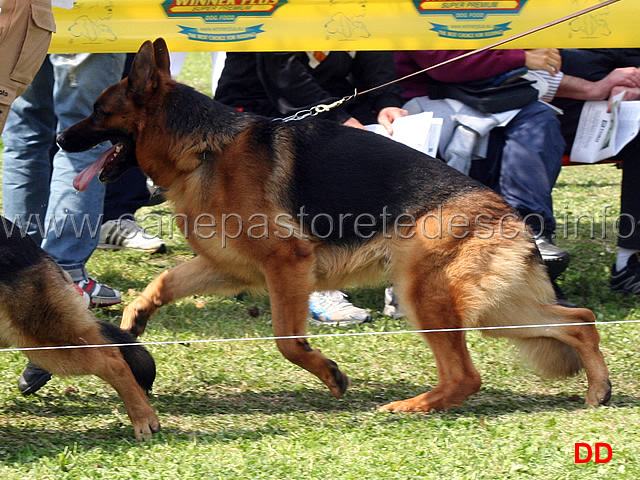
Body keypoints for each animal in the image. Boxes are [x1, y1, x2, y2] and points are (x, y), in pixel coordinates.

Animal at [57, 38, 612, 412]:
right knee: (579, 319)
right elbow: (159, 283)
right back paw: (598, 391)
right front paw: (132, 324)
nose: (60, 140)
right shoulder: (229, 268)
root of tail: (508, 212)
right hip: (491, 311)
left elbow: (287, 341)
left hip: (427, 297)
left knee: (467, 376)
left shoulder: (286, 266)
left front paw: (329, 374)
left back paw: (411, 407)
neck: (205, 151)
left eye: (99, 111)